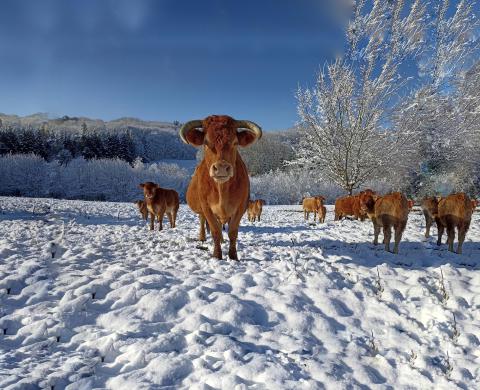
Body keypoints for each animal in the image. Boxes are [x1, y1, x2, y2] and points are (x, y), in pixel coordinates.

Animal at [180, 114, 262, 258]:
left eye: (235, 143)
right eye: (206, 142)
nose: (222, 168)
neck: (222, 190)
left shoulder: (241, 207)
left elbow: (233, 232)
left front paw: (233, 257)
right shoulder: (207, 207)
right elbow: (215, 231)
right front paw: (217, 255)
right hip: (202, 210)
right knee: (202, 220)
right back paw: (202, 237)